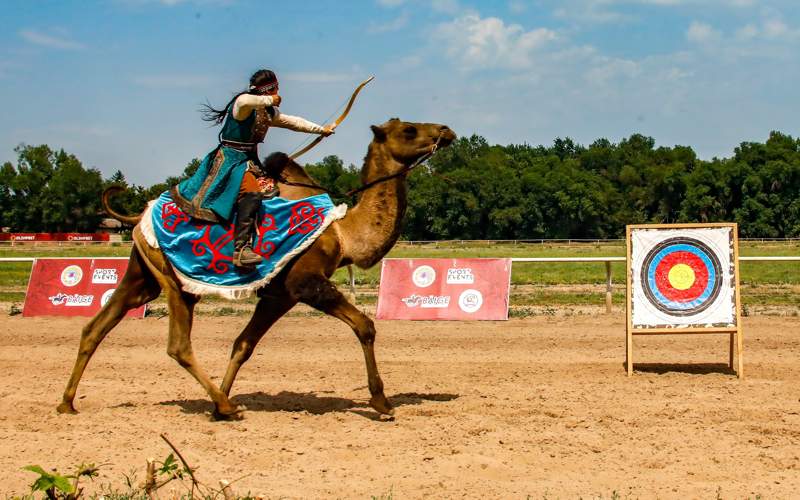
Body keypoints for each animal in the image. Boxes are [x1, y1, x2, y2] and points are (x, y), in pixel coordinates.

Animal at [56, 117, 456, 418]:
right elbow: (365, 326)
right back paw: (225, 406)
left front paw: (222, 398)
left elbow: (243, 344)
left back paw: (67, 403)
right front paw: (381, 401)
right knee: (178, 346)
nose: (446, 130)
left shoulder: (279, 295)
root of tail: (138, 216)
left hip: (142, 275)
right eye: (409, 130)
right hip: (174, 283)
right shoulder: (305, 282)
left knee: (95, 327)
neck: (343, 232)